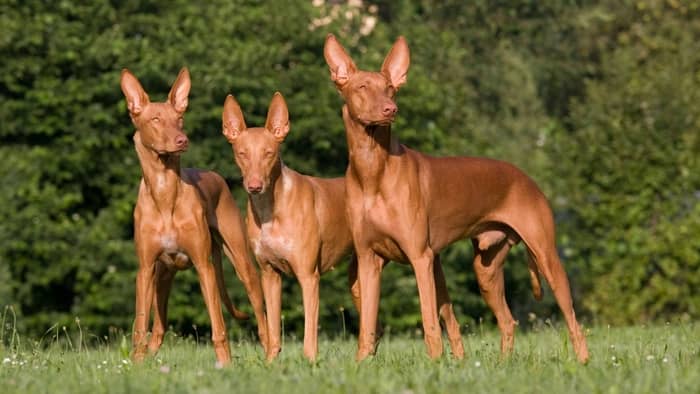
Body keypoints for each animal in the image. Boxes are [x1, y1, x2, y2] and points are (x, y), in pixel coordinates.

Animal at [121, 68, 270, 366]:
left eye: (179, 119)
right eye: (155, 119)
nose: (182, 140)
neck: (165, 192)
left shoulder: (204, 266)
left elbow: (219, 326)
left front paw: (225, 363)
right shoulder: (145, 269)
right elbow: (140, 325)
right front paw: (136, 363)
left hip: (243, 264)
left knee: (262, 317)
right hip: (162, 276)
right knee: (158, 327)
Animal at [221, 91, 356, 360]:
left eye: (269, 153)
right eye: (242, 153)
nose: (254, 186)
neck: (270, 211)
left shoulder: (309, 276)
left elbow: (309, 335)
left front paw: (310, 363)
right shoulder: (269, 274)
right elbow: (273, 331)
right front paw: (271, 363)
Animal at [326, 34, 588, 364]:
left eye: (390, 88)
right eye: (362, 87)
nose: (390, 109)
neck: (372, 170)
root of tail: (525, 177)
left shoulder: (421, 258)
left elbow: (428, 320)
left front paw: (435, 363)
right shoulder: (368, 260)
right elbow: (368, 326)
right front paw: (362, 364)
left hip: (546, 256)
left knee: (573, 320)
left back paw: (583, 361)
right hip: (485, 270)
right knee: (508, 320)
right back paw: (502, 364)